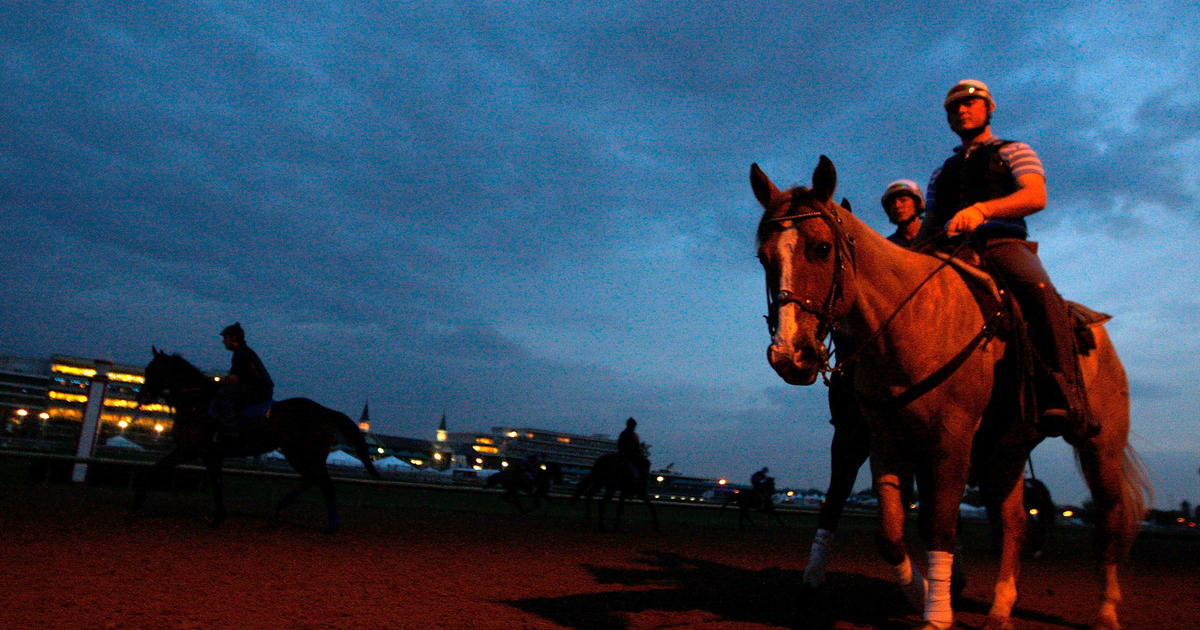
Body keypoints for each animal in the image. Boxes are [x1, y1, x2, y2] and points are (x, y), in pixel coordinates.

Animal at [130, 345, 376, 532]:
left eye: (155, 370)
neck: (197, 404)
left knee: (326, 484)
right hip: (294, 453)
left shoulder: (189, 450)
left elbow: (152, 471)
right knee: (310, 479)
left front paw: (137, 501)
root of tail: (325, 411)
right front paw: (219, 516)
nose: (141, 397)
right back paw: (280, 508)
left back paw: (331, 526)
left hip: (308, 454)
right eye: (148, 369)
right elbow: (217, 484)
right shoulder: (210, 455)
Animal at [753, 158, 1147, 628]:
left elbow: (940, 524)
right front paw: (923, 591)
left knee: (1108, 516)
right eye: (763, 258)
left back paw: (1105, 611)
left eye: (821, 248)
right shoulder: (883, 441)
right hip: (1006, 451)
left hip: (1099, 446)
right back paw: (1000, 607)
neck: (913, 322)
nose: (789, 355)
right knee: (1014, 522)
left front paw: (937, 613)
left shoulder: (950, 439)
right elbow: (889, 532)